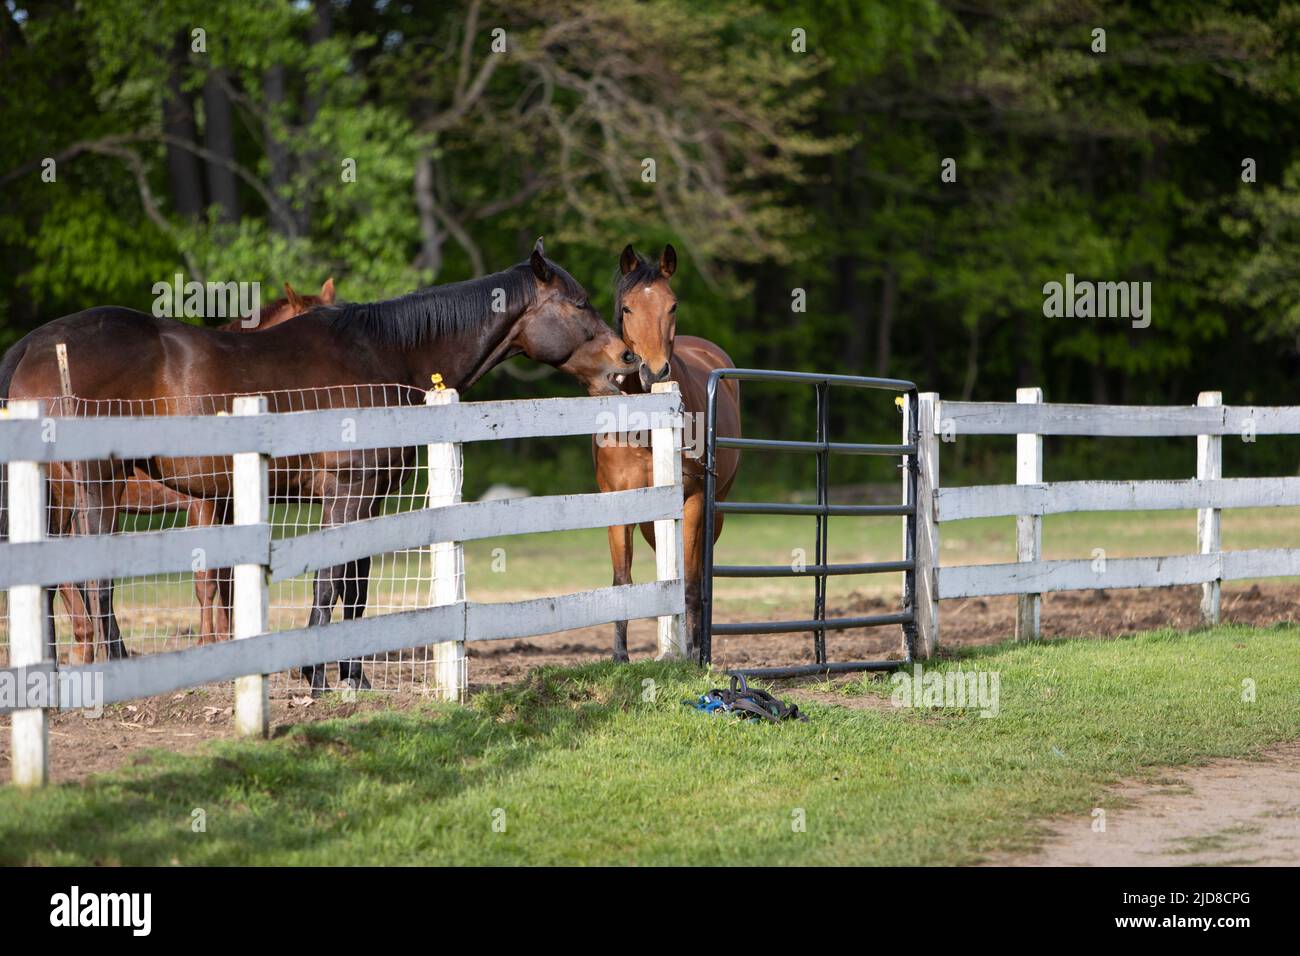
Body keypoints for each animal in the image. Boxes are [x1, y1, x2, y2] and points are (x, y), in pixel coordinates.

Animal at [592, 247, 738, 660]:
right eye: (627, 308)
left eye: (672, 305)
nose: (655, 373)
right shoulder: (620, 501)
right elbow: (622, 580)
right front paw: (620, 657)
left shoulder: (693, 500)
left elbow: (689, 581)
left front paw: (689, 654)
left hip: (714, 509)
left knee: (695, 575)